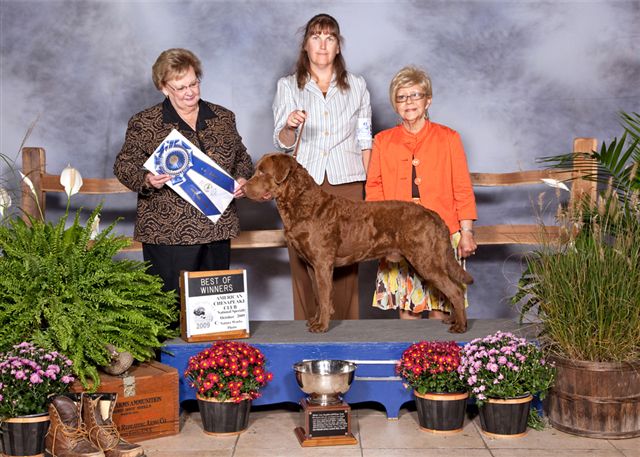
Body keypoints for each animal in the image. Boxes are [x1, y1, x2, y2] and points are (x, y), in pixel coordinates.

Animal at [242, 152, 472, 332]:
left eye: (262, 172)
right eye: (256, 170)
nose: (243, 189)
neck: (302, 203)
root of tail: (434, 215)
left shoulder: (322, 262)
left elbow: (324, 296)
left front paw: (321, 326)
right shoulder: (311, 265)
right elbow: (317, 296)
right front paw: (315, 320)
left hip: (426, 259)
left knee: (455, 290)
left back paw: (460, 326)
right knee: (453, 289)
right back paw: (453, 320)